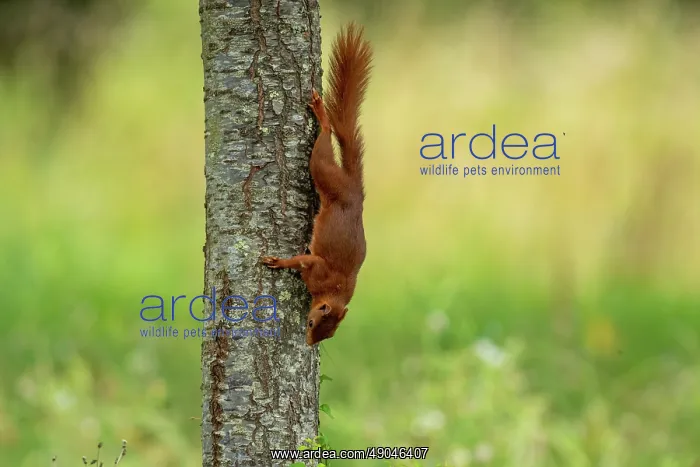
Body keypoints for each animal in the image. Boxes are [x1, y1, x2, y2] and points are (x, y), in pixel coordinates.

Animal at [262, 22, 372, 346]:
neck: (334, 289)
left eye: (329, 335)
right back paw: (322, 118)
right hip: (323, 169)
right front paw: (279, 262)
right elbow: (301, 260)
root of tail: (356, 191)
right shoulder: (317, 267)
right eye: (311, 323)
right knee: (324, 139)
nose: (310, 344)